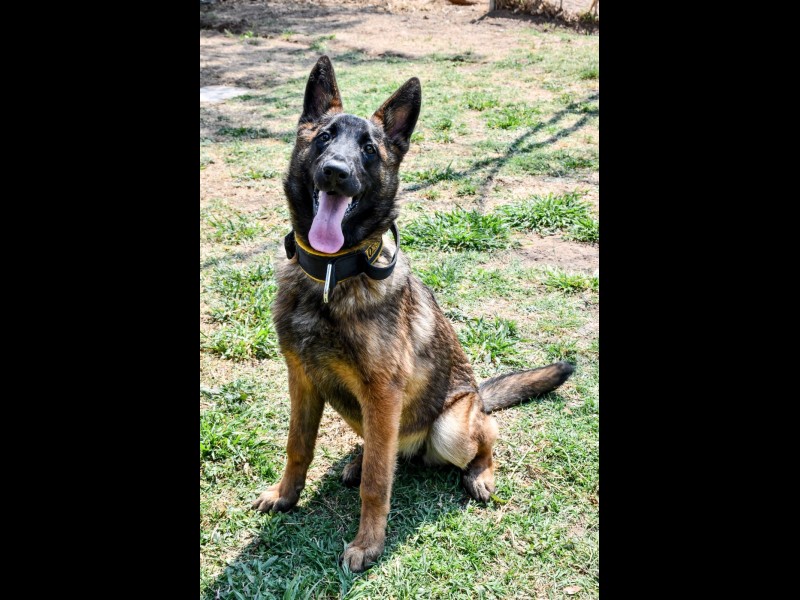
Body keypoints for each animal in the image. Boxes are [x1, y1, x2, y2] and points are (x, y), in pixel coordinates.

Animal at [252, 56, 574, 572]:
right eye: (324, 137)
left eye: (368, 149)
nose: (336, 172)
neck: (332, 276)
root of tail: (476, 395)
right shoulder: (301, 379)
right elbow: (297, 447)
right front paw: (286, 496)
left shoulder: (382, 393)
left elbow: (377, 483)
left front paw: (368, 544)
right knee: (382, 450)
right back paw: (357, 459)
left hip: (451, 427)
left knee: (481, 438)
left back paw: (479, 473)